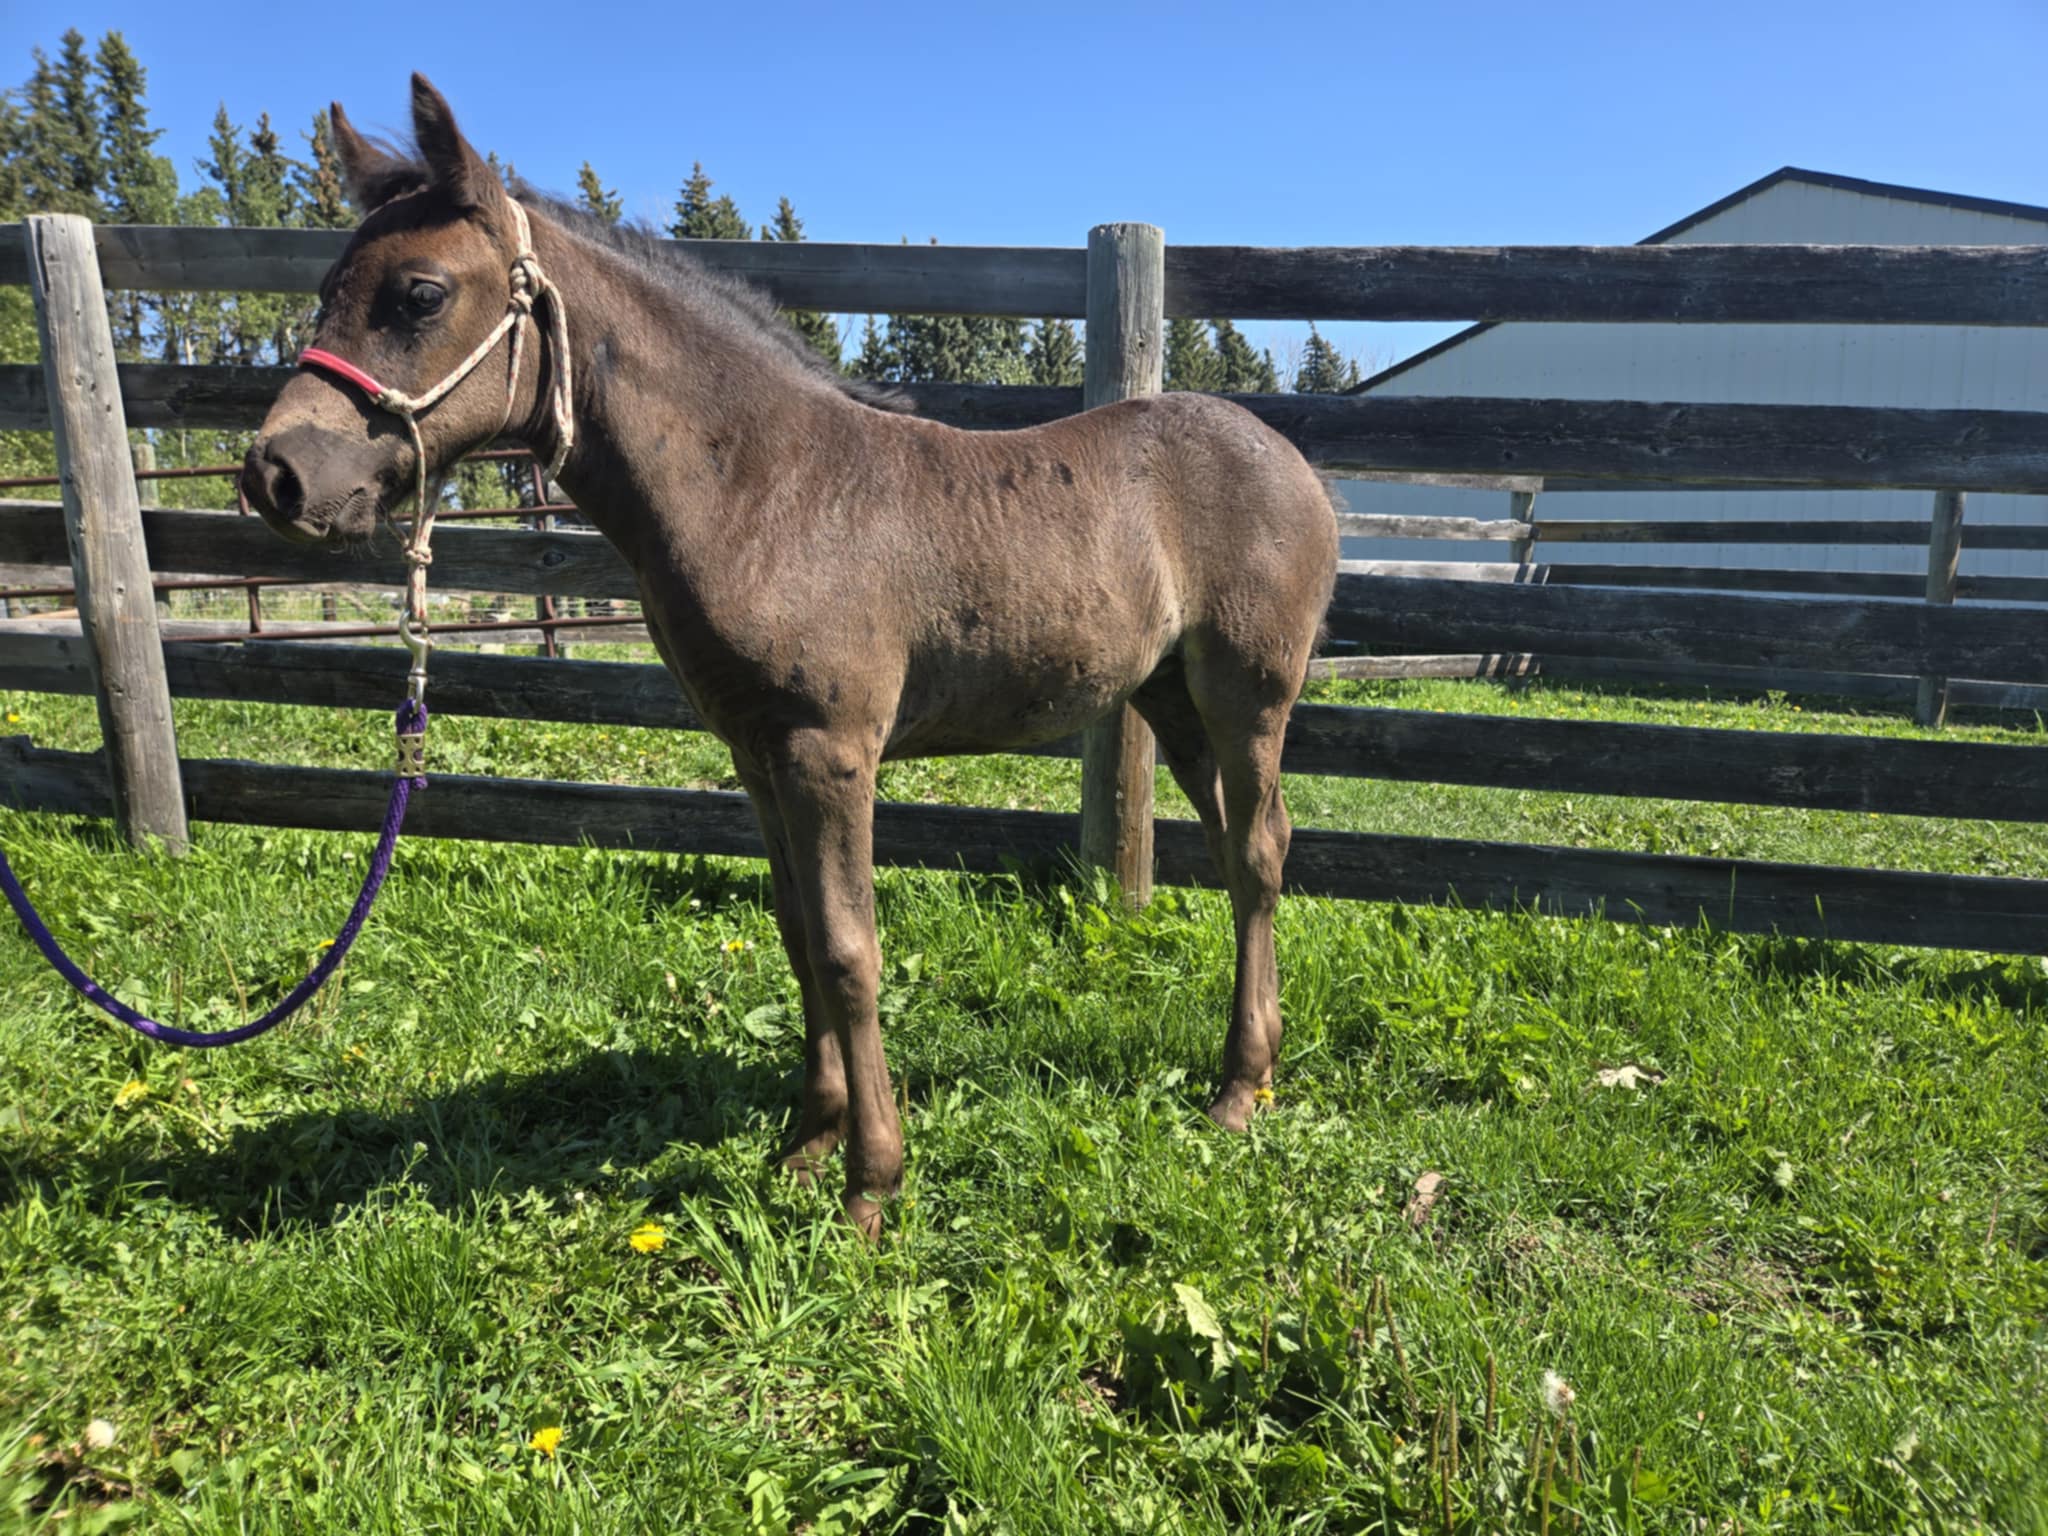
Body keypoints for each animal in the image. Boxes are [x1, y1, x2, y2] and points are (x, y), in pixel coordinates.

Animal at [242, 75, 1339, 1236]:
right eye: (325, 289)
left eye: (417, 294)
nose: (274, 474)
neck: (763, 485)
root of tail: (1292, 462)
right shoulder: (756, 752)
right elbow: (798, 934)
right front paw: (805, 1148)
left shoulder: (829, 751)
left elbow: (851, 951)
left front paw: (870, 1185)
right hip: (1172, 702)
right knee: (1237, 850)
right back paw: (1249, 1071)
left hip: (1245, 696)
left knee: (1259, 851)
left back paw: (1236, 1094)